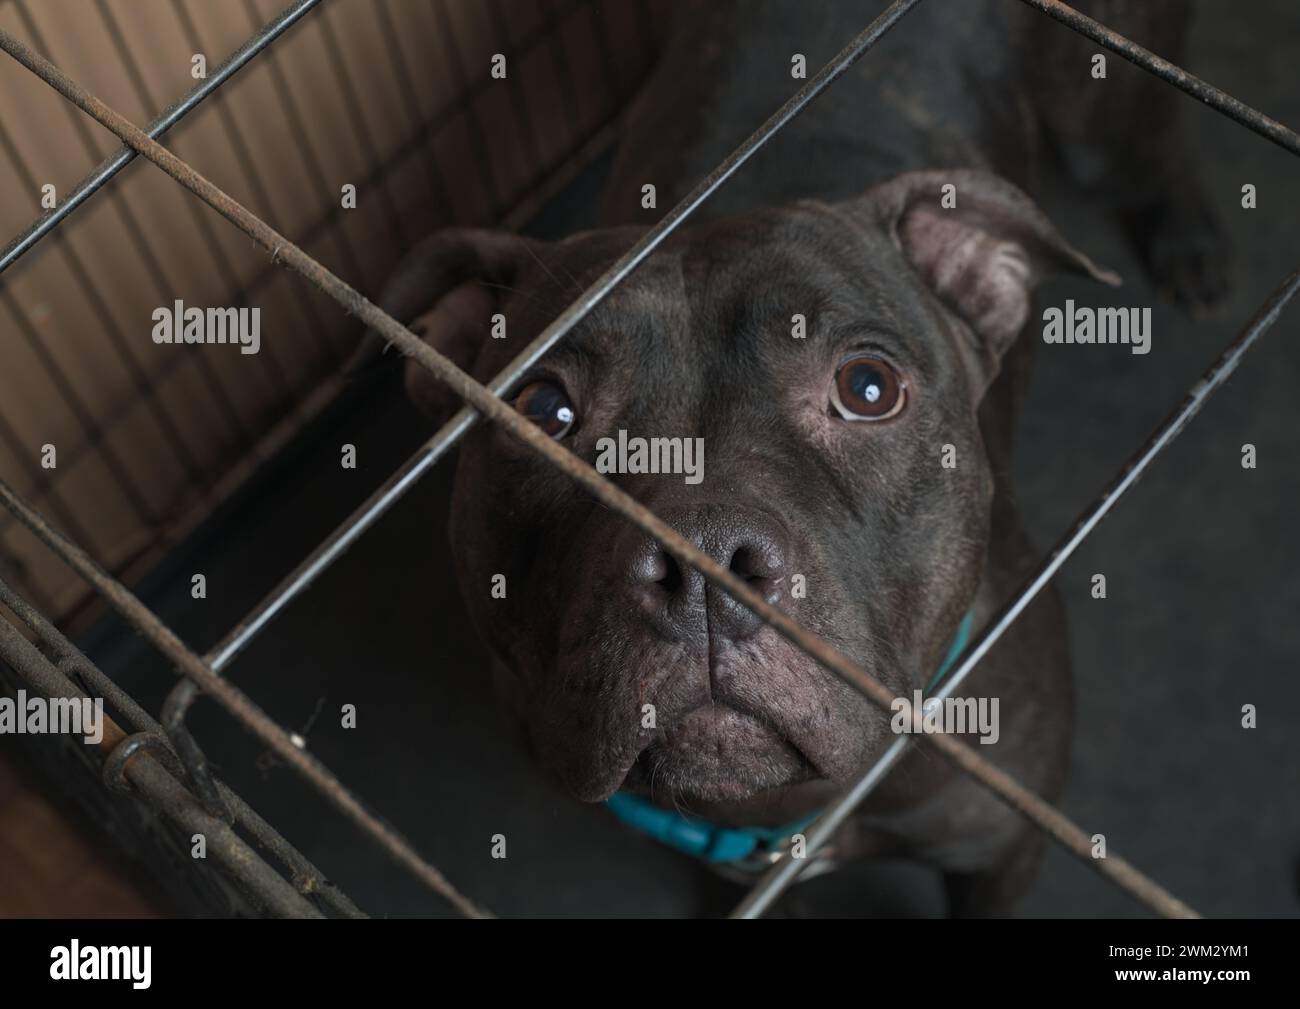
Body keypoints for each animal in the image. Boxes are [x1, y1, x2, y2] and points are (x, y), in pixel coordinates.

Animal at [371, 0, 1222, 915]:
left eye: (869, 387)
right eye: (540, 410)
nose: (705, 565)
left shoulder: (1002, 853)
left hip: (1108, 94)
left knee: (1149, 135)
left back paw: (1191, 238)